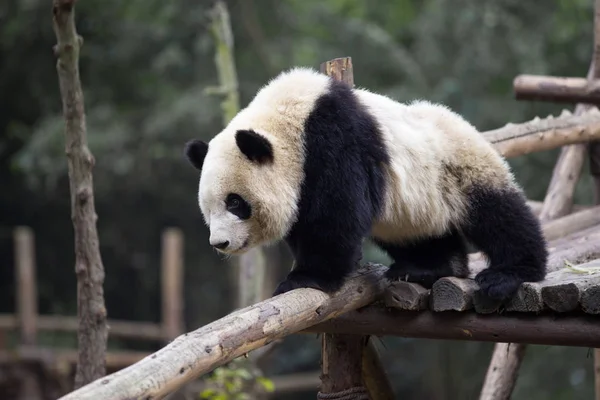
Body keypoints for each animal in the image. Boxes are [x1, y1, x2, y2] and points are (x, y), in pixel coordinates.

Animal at [184, 67, 548, 302]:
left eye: (235, 203)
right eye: (207, 208)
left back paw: (509, 273)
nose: (220, 243)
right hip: (419, 208)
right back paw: (427, 268)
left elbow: (337, 213)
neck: (291, 119)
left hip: (459, 167)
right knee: (421, 235)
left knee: (500, 215)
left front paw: (306, 278)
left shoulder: (333, 140)